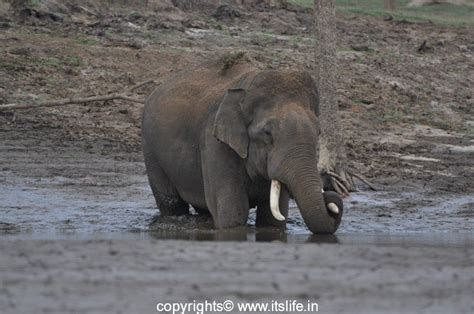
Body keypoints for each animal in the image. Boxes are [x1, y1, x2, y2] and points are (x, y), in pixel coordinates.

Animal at [142, 56, 344, 234]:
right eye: (267, 133)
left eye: (318, 132)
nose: (329, 197)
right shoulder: (214, 144)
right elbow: (232, 216)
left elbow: (272, 220)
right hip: (151, 152)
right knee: (171, 203)